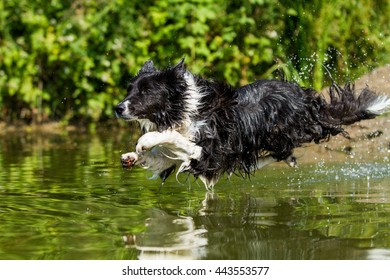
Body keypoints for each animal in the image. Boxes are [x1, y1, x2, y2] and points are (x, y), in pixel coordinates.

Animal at [115, 59, 390, 190]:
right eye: (129, 90)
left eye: (146, 91)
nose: (118, 108)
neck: (181, 107)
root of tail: (308, 100)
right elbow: (161, 156)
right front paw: (132, 156)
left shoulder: (208, 151)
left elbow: (170, 137)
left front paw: (144, 143)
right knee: (281, 155)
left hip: (283, 132)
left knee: (282, 151)